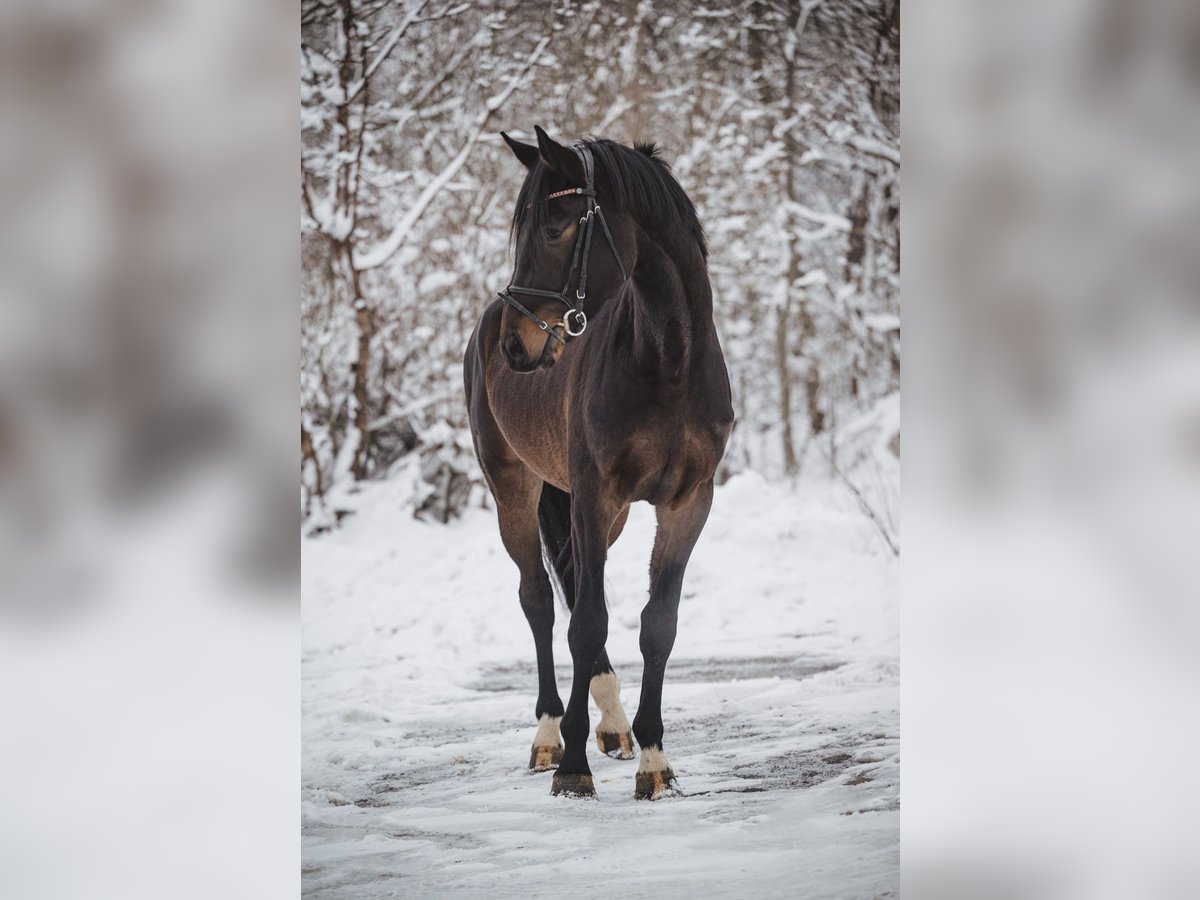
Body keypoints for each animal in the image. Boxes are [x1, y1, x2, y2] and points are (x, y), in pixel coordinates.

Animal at [463, 126, 734, 799]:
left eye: (556, 228)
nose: (517, 346)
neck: (667, 361)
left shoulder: (688, 503)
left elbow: (656, 623)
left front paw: (655, 762)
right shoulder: (592, 495)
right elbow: (584, 622)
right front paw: (572, 769)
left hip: (605, 517)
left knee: (576, 590)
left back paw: (613, 727)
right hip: (515, 490)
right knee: (540, 600)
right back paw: (549, 736)